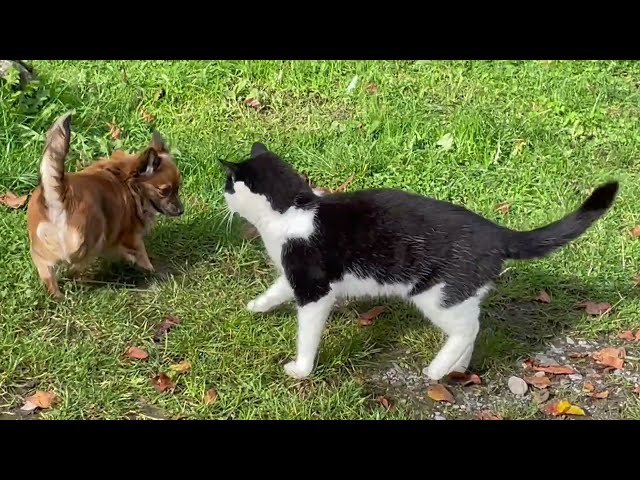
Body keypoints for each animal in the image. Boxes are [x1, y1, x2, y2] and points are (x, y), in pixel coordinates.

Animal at [26, 114, 184, 298]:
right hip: (91, 236)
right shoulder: (131, 236)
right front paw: (153, 271)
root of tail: (60, 192)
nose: (182, 210)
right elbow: (141, 255)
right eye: (165, 191)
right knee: (73, 262)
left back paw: (58, 295)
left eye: (178, 188)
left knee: (48, 271)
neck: (128, 181)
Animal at [221, 144, 620, 380]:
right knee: (473, 325)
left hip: (438, 295)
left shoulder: (313, 286)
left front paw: (300, 369)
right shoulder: (295, 275)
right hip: (461, 294)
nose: (221, 196)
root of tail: (496, 232)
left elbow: (307, 332)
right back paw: (456, 367)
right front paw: (257, 305)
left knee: (467, 329)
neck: (294, 209)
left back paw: (437, 370)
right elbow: (276, 289)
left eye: (228, 184)